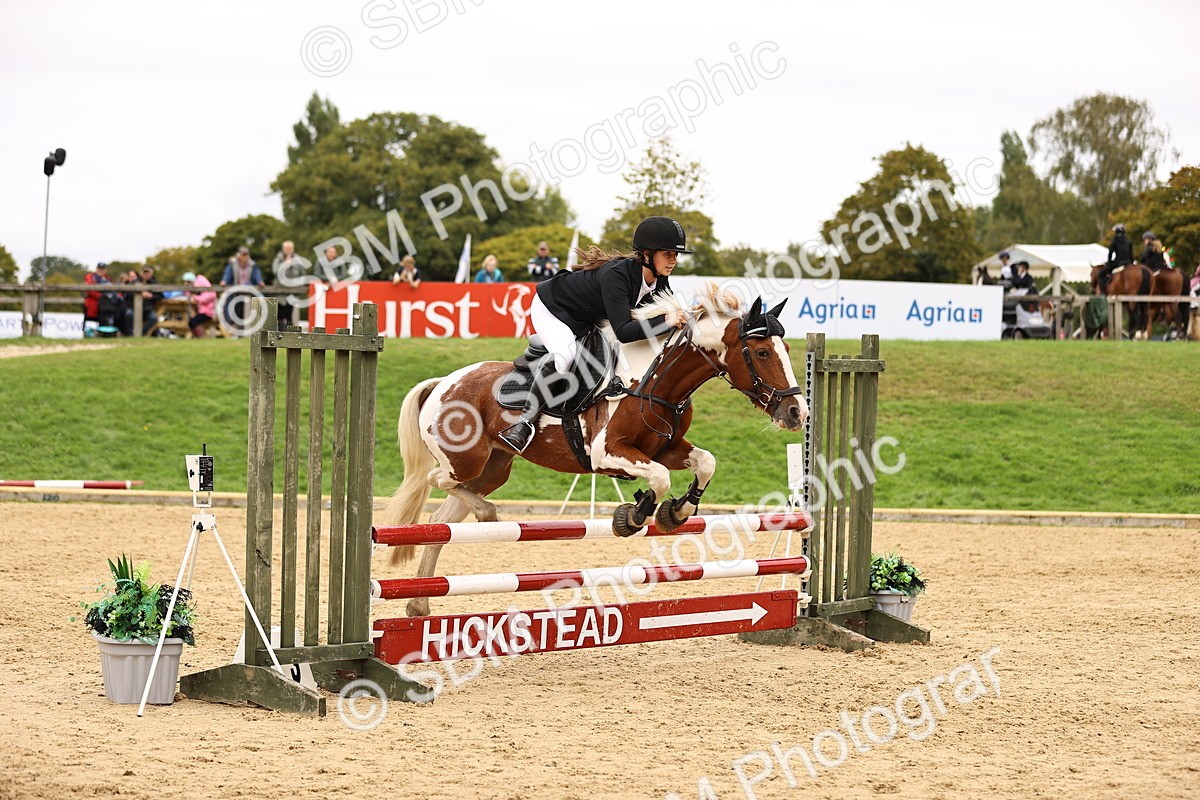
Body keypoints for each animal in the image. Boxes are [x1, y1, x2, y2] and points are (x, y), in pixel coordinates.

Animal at [377, 283, 809, 617]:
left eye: (787, 349)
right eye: (762, 352)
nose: (797, 412)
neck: (656, 379)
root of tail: (441, 382)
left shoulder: (667, 448)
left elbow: (705, 462)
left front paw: (677, 512)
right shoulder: (608, 453)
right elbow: (659, 478)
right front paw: (634, 515)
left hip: (492, 468)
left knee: (443, 521)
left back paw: (419, 604)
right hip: (466, 460)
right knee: (436, 478)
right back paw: (487, 515)